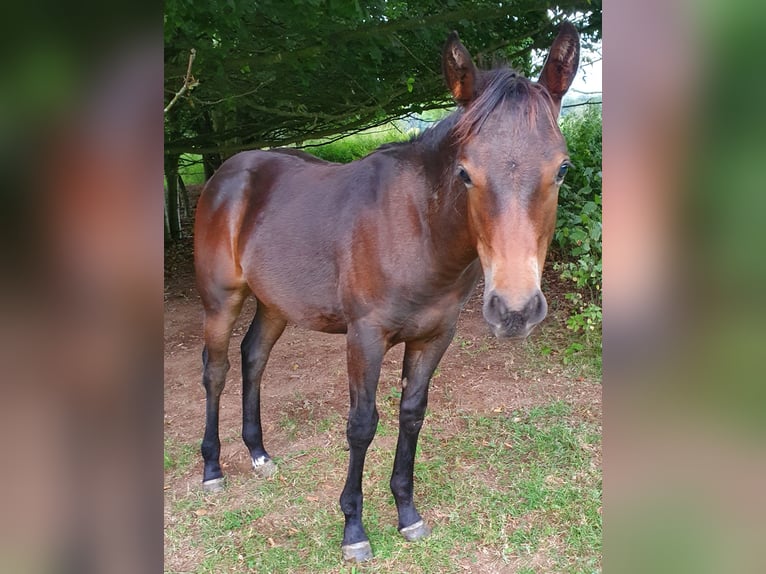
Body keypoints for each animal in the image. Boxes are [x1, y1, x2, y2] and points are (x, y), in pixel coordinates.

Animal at [194, 23, 584, 568]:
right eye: (465, 172)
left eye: (562, 169)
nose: (515, 310)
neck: (417, 229)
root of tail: (228, 173)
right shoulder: (365, 337)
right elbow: (362, 425)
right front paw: (354, 530)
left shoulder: (434, 338)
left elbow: (411, 416)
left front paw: (407, 513)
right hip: (221, 300)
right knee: (217, 370)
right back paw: (212, 469)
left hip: (274, 303)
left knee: (254, 358)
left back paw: (259, 454)